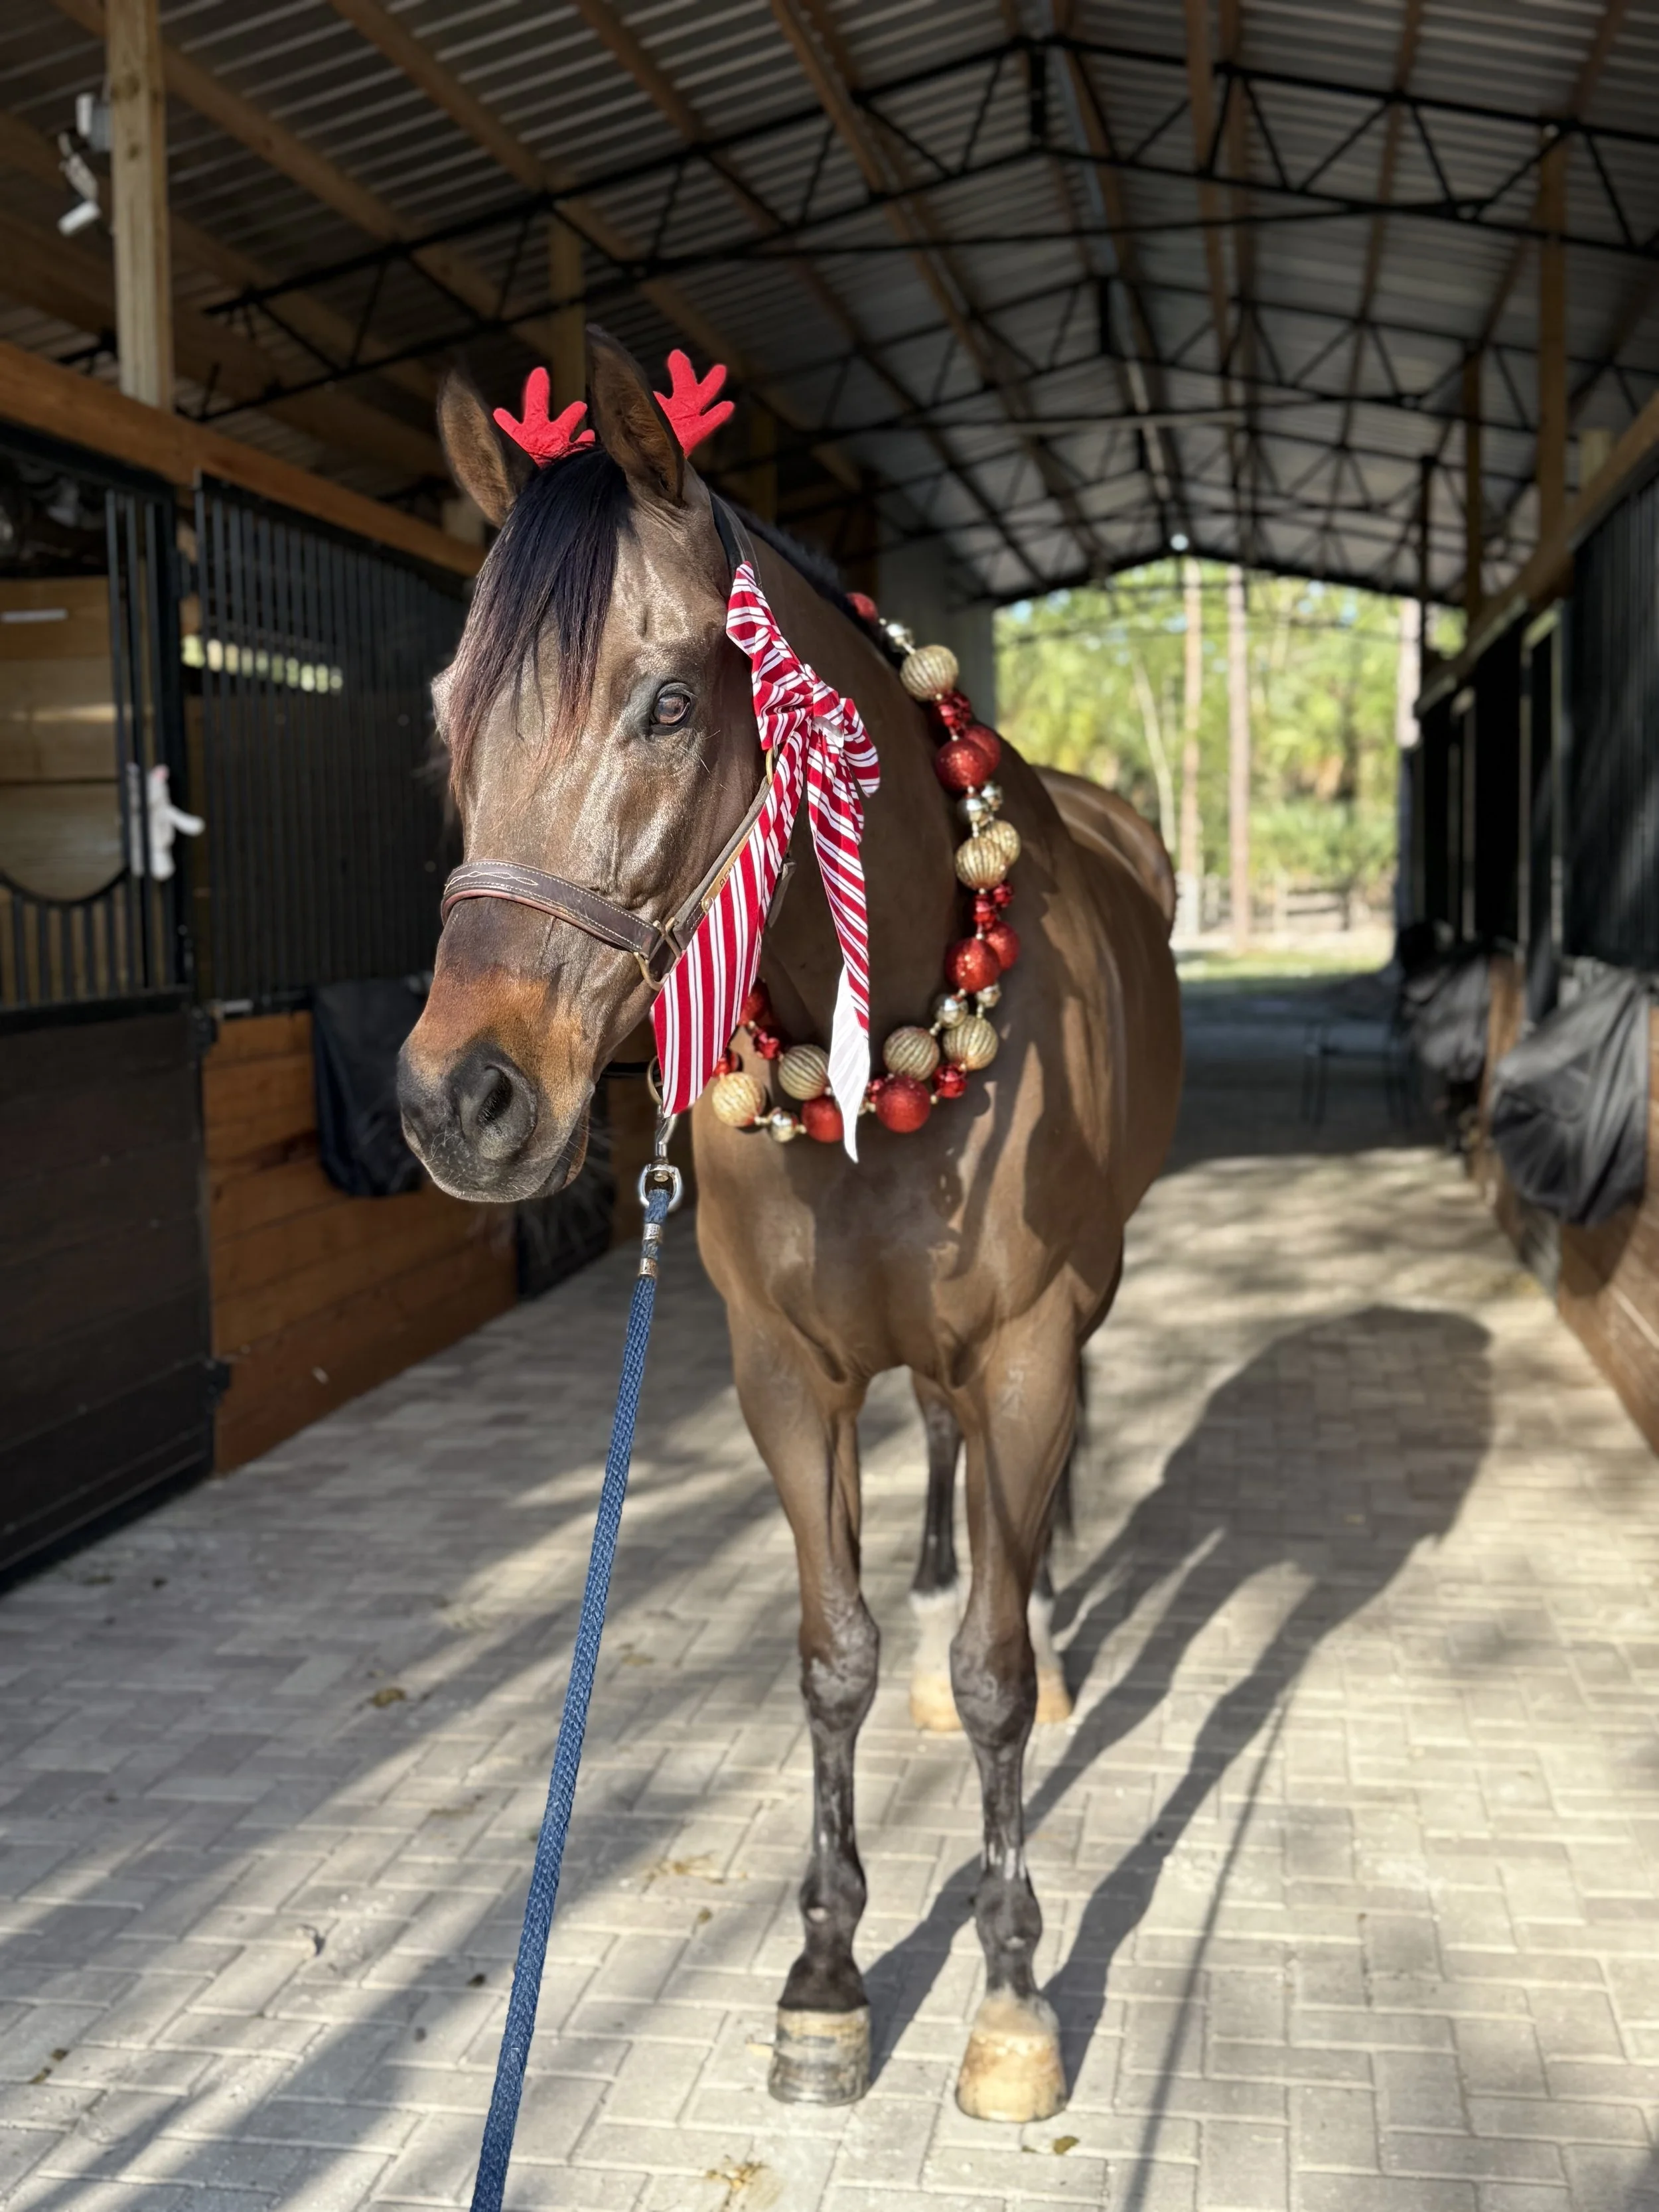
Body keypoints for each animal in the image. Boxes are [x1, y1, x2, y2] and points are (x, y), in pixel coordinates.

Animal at [398, 327, 1183, 2123]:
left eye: (672, 701)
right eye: (451, 717)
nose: (458, 1102)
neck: (889, 1017)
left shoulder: (1027, 1343)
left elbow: (994, 1676)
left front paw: (1010, 1986)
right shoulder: (784, 1373)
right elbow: (832, 1655)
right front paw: (826, 1970)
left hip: (1085, 1296)